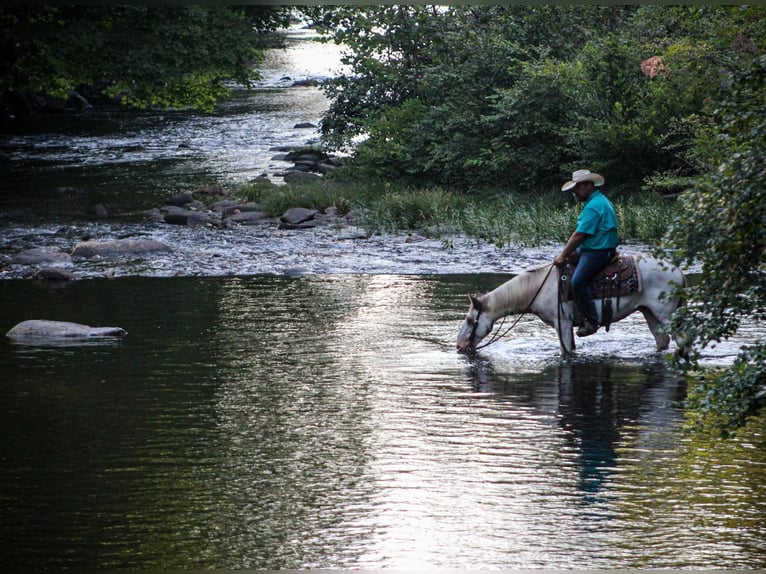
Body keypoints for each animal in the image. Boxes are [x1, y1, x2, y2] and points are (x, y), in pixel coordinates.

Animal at [460, 255, 688, 358]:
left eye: (470, 320)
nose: (459, 346)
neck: (539, 287)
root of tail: (678, 272)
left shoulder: (563, 323)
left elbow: (567, 351)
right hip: (649, 312)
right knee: (662, 340)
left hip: (666, 314)